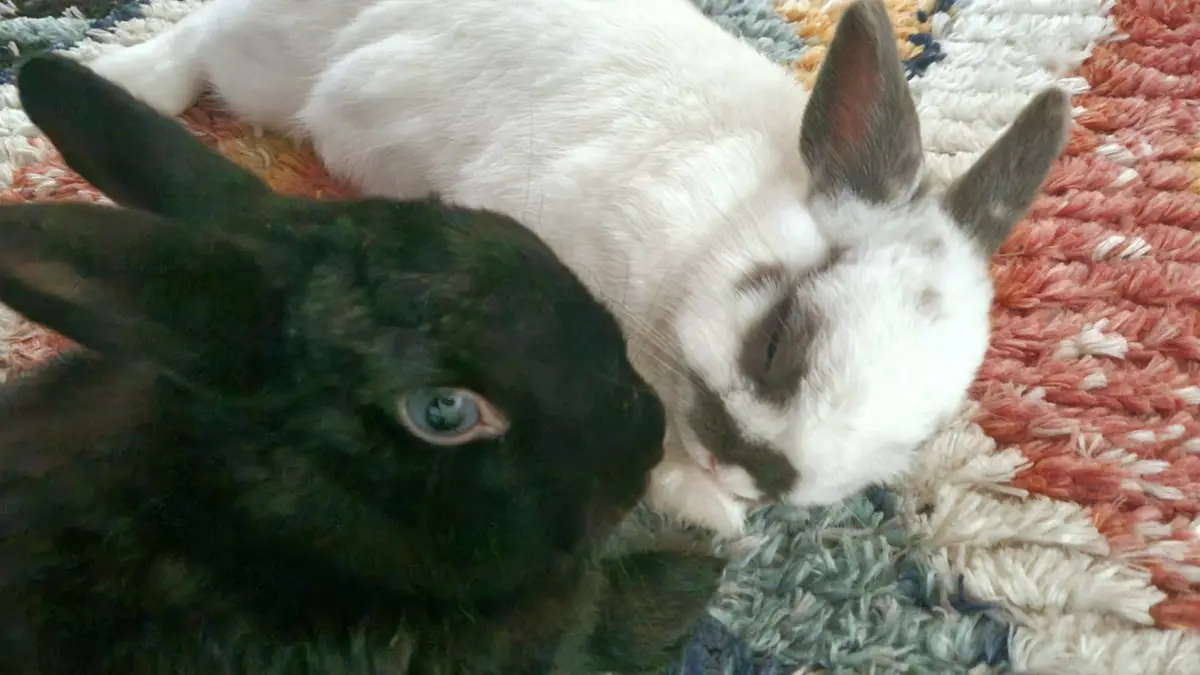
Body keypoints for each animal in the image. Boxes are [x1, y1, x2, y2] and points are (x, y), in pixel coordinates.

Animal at [88, 0, 1073, 535]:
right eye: (776, 340)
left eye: (912, 441)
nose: (766, 475)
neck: (713, 219)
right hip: (271, 66)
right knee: (200, 40)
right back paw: (109, 76)